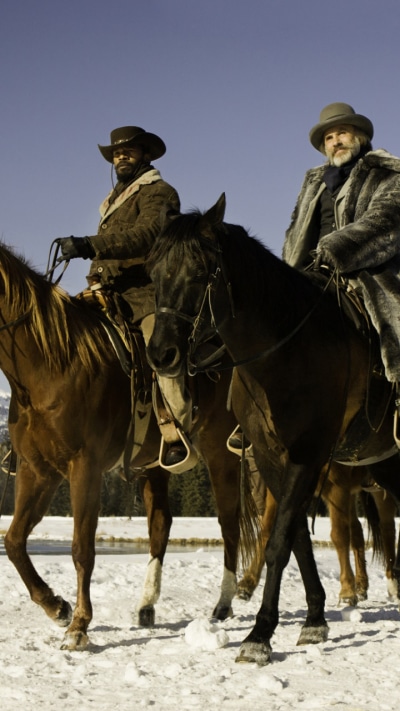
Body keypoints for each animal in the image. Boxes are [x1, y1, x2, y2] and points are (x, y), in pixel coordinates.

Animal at [0, 240, 256, 650]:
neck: (50, 365)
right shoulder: (37, 469)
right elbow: (14, 541)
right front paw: (57, 607)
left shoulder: (83, 467)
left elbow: (82, 548)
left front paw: (79, 626)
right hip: (154, 465)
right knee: (161, 524)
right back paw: (146, 605)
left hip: (220, 452)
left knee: (229, 523)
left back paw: (223, 603)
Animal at [237, 460, 399, 606]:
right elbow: (266, 532)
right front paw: (247, 584)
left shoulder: (337, 487)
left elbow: (339, 535)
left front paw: (347, 592)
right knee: (357, 530)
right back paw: (361, 587)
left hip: (379, 490)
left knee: (387, 529)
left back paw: (393, 583)